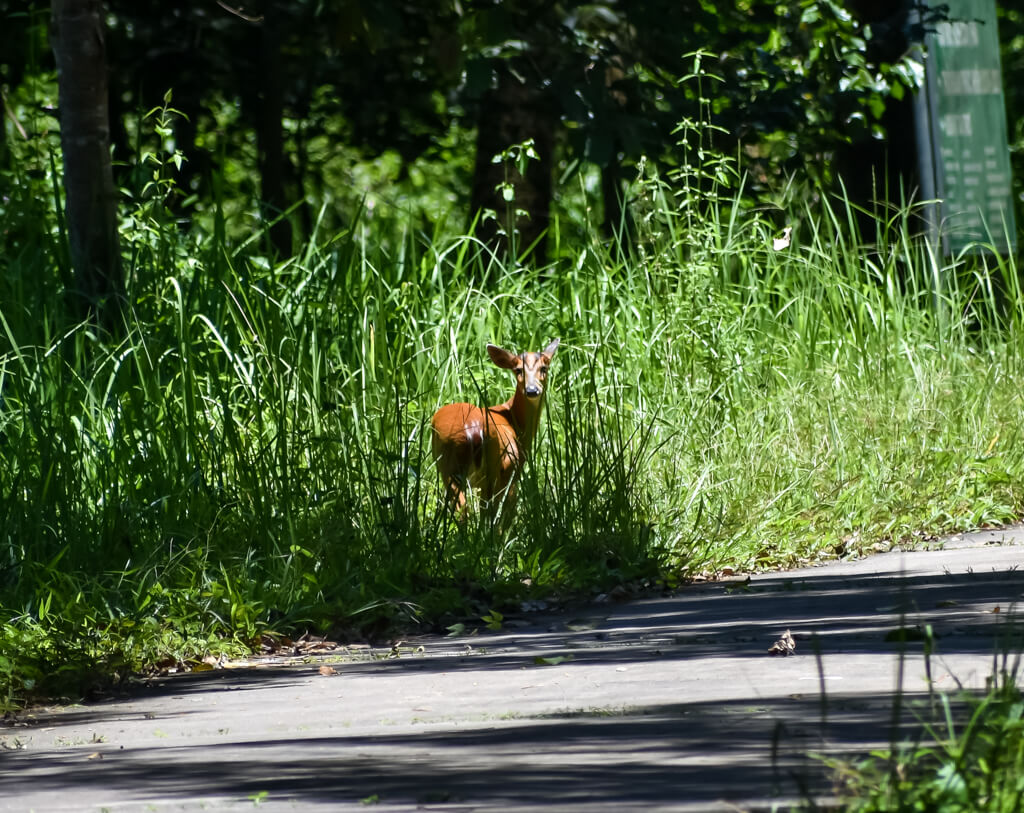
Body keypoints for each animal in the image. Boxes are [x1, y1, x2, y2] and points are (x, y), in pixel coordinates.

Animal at [430, 337, 561, 522]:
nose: (532, 390)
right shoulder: (512, 470)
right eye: (518, 370)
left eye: (544, 368)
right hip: (491, 470)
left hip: (448, 467)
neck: (514, 420)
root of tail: (472, 430)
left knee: (463, 510)